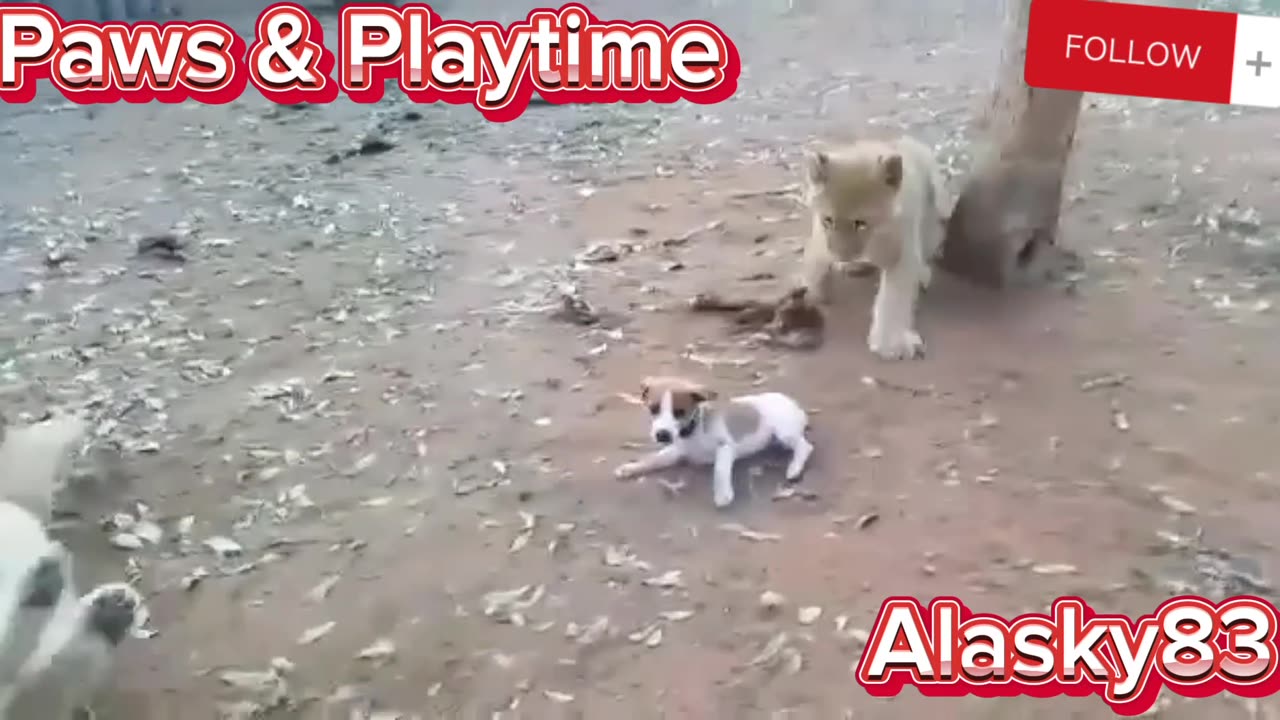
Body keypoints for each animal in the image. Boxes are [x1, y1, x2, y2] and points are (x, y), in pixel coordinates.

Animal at [614, 376, 814, 504]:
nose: (662, 434)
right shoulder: (676, 451)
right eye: (653, 409)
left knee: (805, 446)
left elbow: (720, 469)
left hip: (783, 432)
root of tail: (793, 403)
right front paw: (630, 468)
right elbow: (654, 459)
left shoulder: (725, 446)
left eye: (679, 412)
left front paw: (723, 493)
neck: (693, 430)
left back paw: (794, 468)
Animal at [798, 134, 952, 358]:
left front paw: (890, 344)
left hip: (933, 221)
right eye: (829, 220)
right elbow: (815, 259)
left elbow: (893, 297)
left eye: (861, 223)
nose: (841, 255)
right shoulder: (821, 236)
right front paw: (814, 291)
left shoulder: (902, 254)